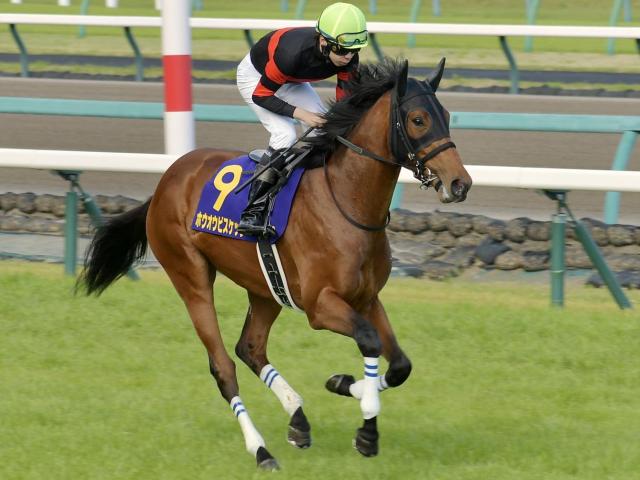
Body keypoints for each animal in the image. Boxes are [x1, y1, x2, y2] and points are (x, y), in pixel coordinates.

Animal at [79, 57, 470, 468]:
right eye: (417, 120)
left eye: (445, 115)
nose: (460, 183)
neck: (347, 202)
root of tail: (164, 184)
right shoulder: (320, 306)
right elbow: (368, 340)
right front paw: (367, 428)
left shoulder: (367, 299)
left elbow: (399, 366)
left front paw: (344, 385)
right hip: (190, 277)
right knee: (223, 366)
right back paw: (261, 449)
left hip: (266, 287)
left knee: (249, 348)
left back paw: (297, 417)